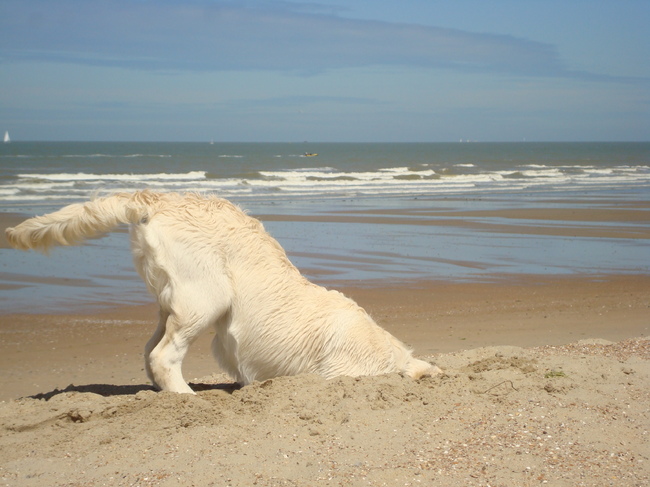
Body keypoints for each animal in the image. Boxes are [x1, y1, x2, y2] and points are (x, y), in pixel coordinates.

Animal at [6, 191, 442, 393]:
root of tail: (155, 197)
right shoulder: (341, 371)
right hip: (207, 300)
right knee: (164, 355)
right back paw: (186, 396)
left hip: (172, 298)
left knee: (150, 350)